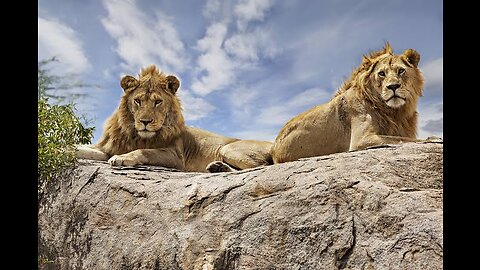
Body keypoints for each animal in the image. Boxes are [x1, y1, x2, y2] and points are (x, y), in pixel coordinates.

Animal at [76, 64, 272, 172]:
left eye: (158, 102)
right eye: (138, 101)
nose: (145, 122)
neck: (135, 134)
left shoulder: (176, 156)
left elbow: (144, 151)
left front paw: (122, 158)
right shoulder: (107, 147)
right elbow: (83, 149)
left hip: (228, 149)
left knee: (261, 167)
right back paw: (218, 167)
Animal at [272, 43, 426, 163]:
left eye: (401, 71)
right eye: (381, 73)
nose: (393, 86)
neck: (394, 112)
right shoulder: (361, 139)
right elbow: (407, 140)